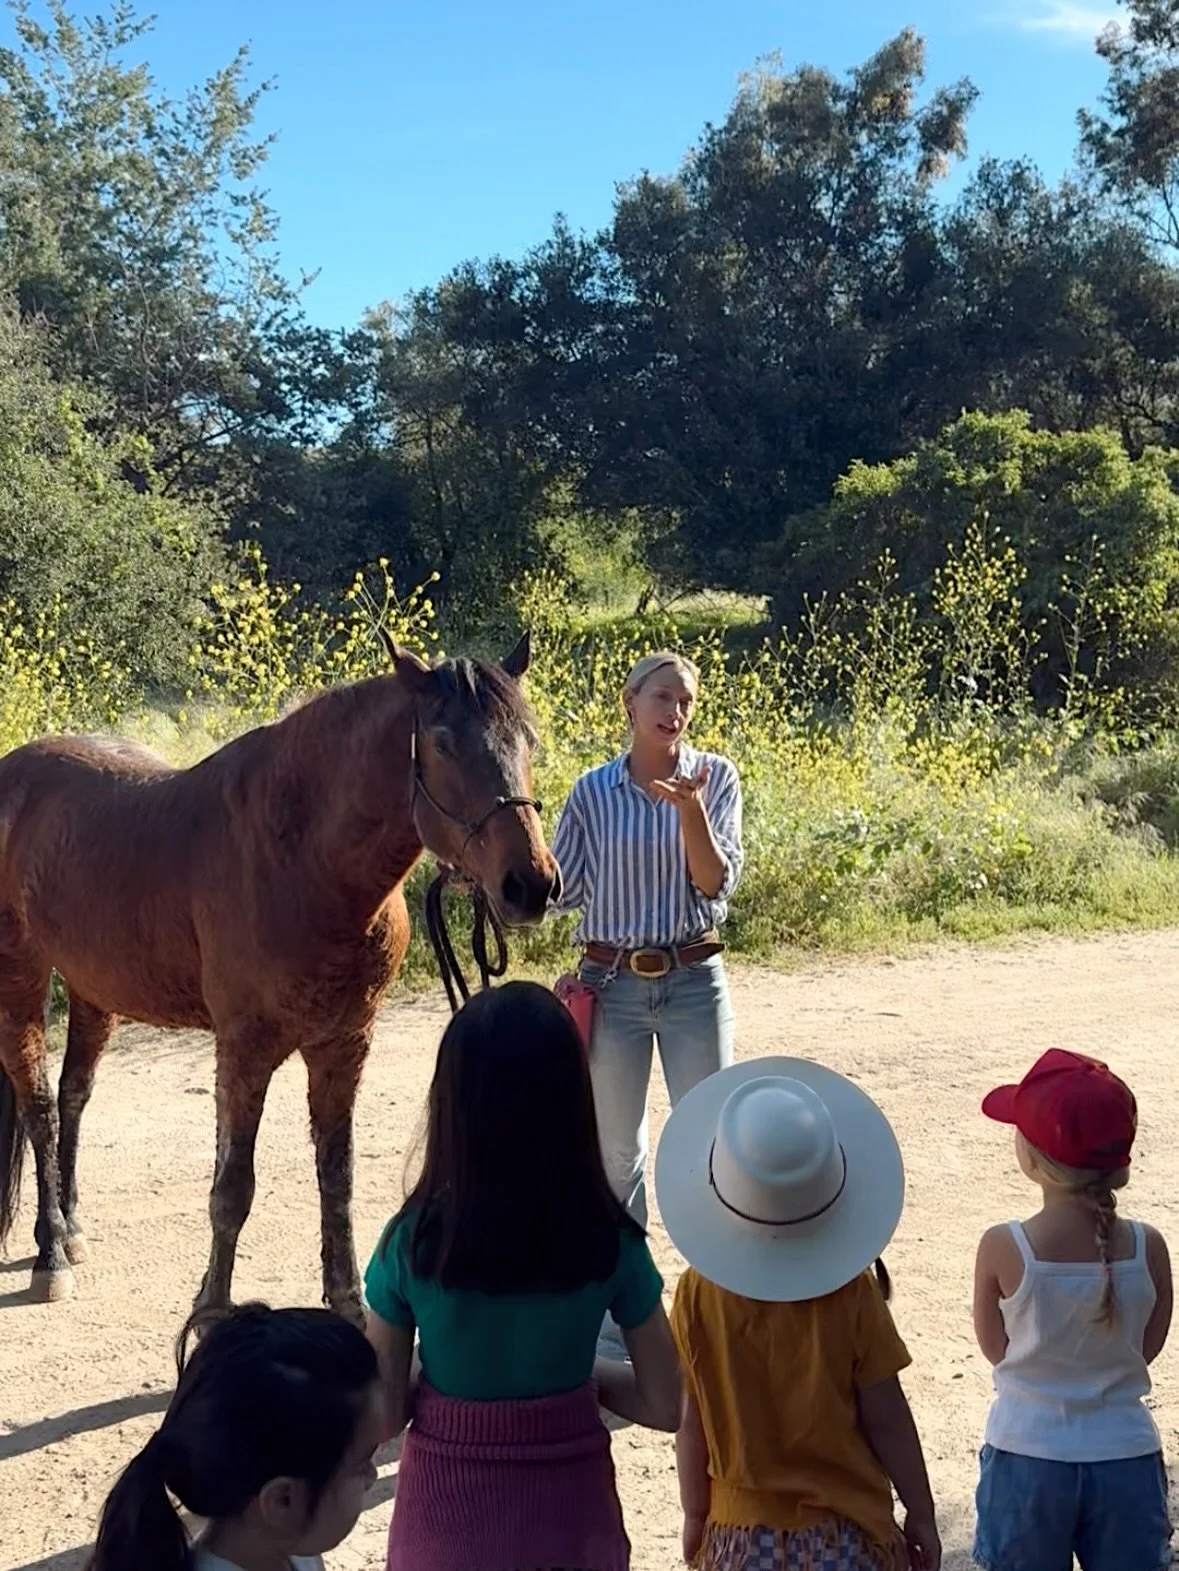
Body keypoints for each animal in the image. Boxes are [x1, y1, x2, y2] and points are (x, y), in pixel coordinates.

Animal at [0, 632, 559, 1318]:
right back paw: (51, 1253)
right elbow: (232, 1189)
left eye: (528, 739)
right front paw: (211, 1315)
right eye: (443, 743)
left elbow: (337, 1178)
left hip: (92, 987)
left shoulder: (343, 1043)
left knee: (74, 1094)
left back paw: (72, 1229)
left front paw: (348, 1304)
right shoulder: (244, 1049)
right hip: (22, 979)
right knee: (40, 1104)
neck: (301, 859)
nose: (529, 884)